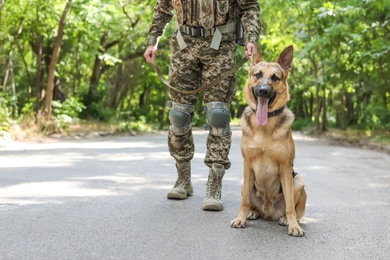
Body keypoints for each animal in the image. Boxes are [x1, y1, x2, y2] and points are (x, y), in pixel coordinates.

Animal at [230, 45, 306, 237]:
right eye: (258, 75)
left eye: (275, 78)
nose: (263, 90)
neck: (264, 128)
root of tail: (269, 212)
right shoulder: (247, 165)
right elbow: (244, 201)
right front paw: (240, 218)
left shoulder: (286, 167)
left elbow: (290, 206)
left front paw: (293, 226)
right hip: (243, 182)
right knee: (251, 204)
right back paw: (252, 212)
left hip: (298, 180)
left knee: (293, 209)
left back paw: (286, 219)